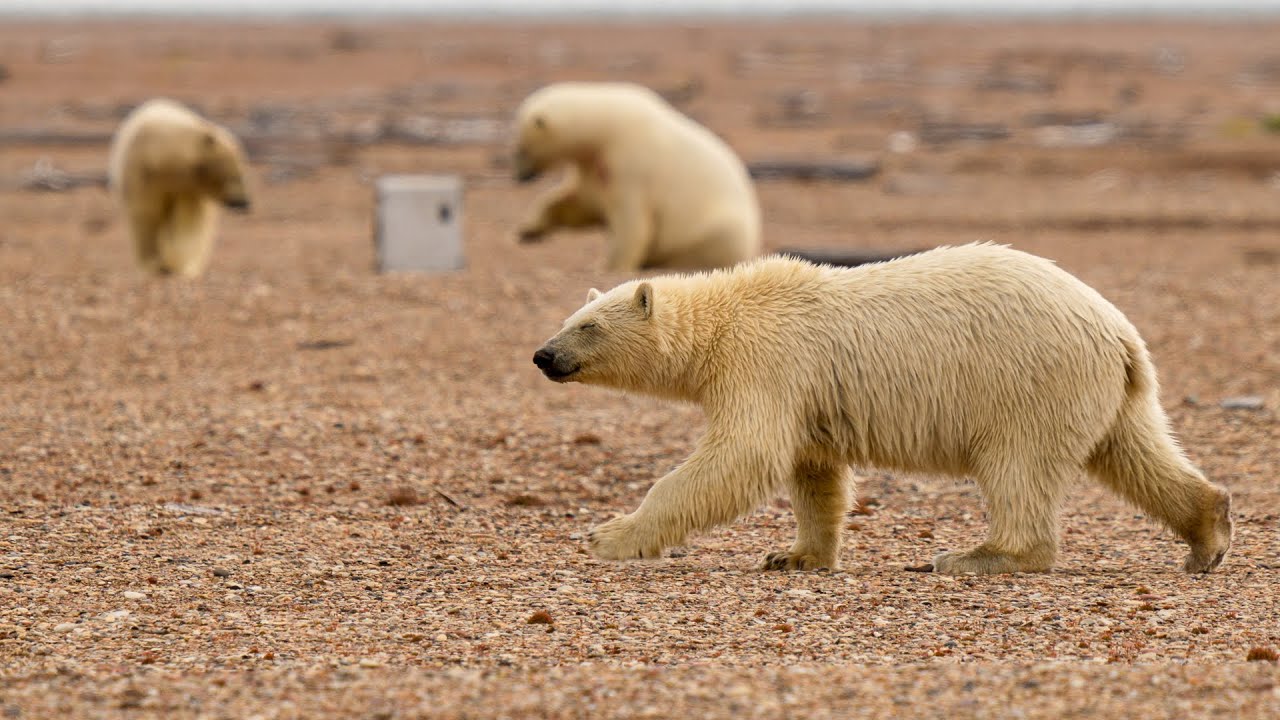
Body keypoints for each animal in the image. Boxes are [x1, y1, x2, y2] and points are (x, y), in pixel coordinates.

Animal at [107, 98, 251, 277]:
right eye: (236, 175)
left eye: (241, 173)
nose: (245, 203)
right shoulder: (144, 175)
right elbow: (146, 215)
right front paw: (155, 264)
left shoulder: (188, 190)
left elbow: (187, 223)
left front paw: (175, 263)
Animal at [511, 81, 760, 272]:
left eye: (521, 149)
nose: (520, 176)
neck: (607, 126)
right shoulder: (595, 167)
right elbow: (580, 204)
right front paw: (529, 230)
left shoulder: (631, 164)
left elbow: (632, 223)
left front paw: (610, 266)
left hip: (717, 228)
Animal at [532, 243, 1233, 575]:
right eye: (568, 318)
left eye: (588, 325)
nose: (543, 354)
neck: (727, 318)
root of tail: (1117, 331)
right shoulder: (805, 391)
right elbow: (813, 473)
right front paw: (795, 556)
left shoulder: (767, 362)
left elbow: (741, 455)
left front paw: (610, 535)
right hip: (1108, 393)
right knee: (1135, 452)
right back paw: (1209, 532)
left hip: (1028, 383)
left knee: (1018, 467)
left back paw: (978, 555)